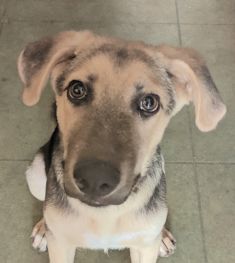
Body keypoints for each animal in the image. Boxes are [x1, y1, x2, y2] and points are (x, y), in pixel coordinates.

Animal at [17, 29, 227, 262]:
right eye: (77, 89)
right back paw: (44, 229)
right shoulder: (61, 247)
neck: (106, 214)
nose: (94, 180)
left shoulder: (144, 249)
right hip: (35, 173)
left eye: (149, 103)